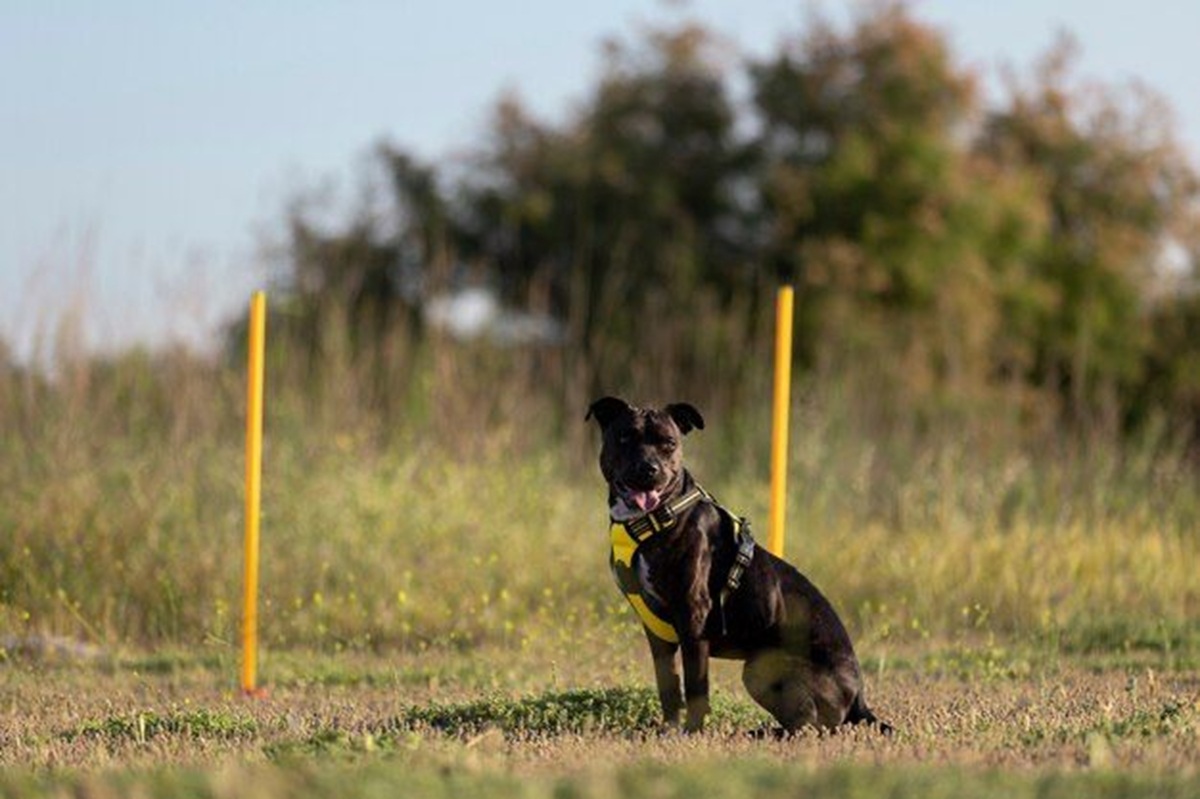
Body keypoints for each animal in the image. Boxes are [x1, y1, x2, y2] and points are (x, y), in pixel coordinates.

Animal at [585, 395, 888, 729]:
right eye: (625, 437)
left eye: (669, 443)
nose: (649, 469)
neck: (653, 519)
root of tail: (858, 695)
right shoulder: (656, 632)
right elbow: (668, 686)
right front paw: (669, 729)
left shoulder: (693, 619)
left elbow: (696, 687)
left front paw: (691, 733)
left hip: (761, 668)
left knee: (810, 725)